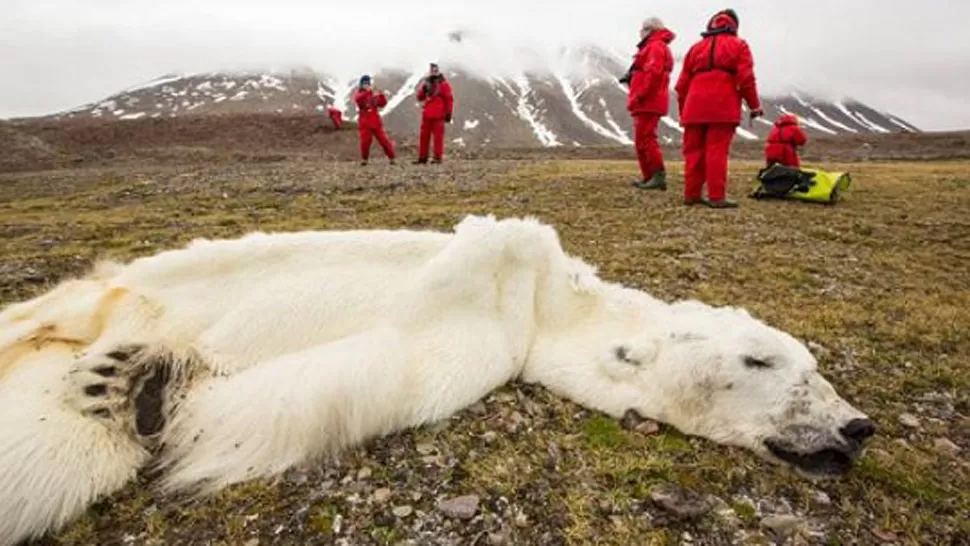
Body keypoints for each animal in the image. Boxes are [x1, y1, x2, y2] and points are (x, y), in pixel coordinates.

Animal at [0, 214, 872, 544]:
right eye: (762, 359)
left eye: (813, 366)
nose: (856, 427)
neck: (543, 307)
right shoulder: (499, 290)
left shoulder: (473, 352)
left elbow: (329, 384)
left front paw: (148, 390)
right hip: (105, 293)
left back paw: (117, 381)